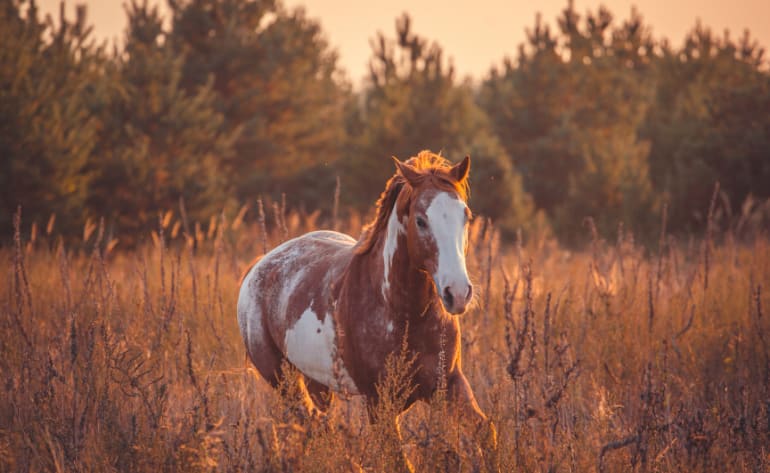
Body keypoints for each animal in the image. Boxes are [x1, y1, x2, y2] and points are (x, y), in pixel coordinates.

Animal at [237, 150, 496, 464]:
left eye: (466, 217)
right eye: (421, 221)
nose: (457, 293)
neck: (405, 315)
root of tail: (257, 268)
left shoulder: (449, 384)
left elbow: (486, 432)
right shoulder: (378, 404)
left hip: (317, 385)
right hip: (285, 382)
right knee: (314, 428)